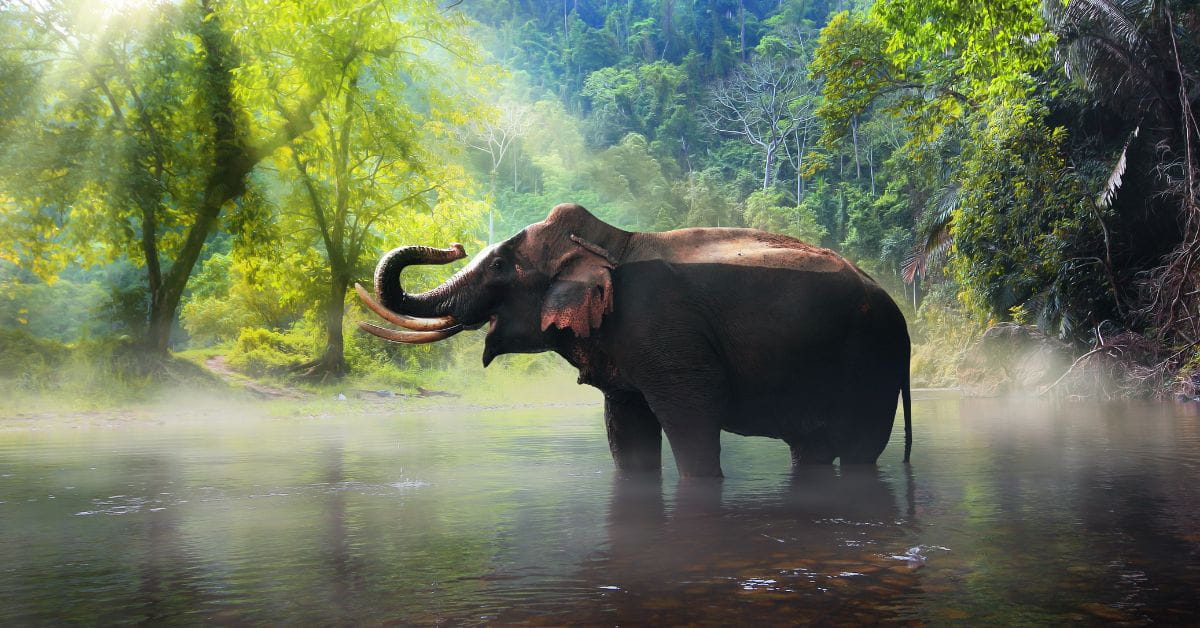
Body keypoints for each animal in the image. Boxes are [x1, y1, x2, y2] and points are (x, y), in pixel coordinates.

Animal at [356, 203, 911, 478]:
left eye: (497, 265)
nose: (453, 244)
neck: (612, 242)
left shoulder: (668, 335)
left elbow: (692, 419)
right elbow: (625, 429)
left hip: (873, 361)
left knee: (861, 449)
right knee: (810, 449)